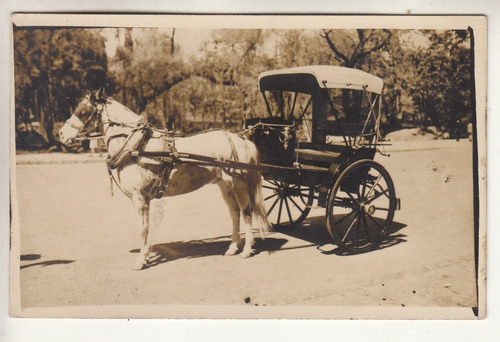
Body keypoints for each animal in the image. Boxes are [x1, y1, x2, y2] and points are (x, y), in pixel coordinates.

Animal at [58, 89, 270, 272]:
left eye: (83, 111)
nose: (61, 134)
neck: (137, 147)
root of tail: (241, 140)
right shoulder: (139, 199)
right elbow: (145, 226)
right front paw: (146, 255)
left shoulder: (140, 198)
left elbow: (143, 228)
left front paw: (140, 260)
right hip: (225, 185)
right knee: (234, 213)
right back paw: (233, 247)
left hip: (239, 185)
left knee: (246, 212)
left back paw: (246, 249)